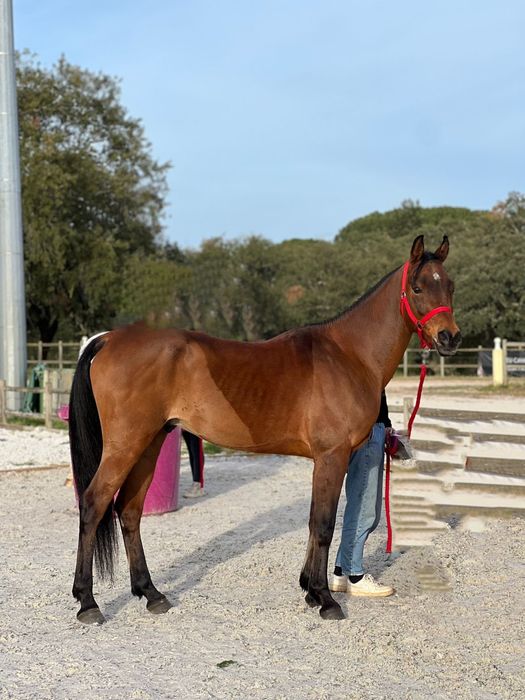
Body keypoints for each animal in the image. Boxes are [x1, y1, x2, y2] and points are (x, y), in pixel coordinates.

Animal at [68, 234, 461, 624]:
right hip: (125, 445)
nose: (450, 338)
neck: (349, 355)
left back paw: (151, 593)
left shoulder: (325, 461)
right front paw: (325, 599)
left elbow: (314, 521)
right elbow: (323, 524)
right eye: (418, 287)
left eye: (450, 285)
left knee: (129, 511)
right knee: (93, 503)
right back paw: (88, 602)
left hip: (150, 444)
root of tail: (108, 339)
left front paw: (310, 590)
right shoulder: (332, 456)